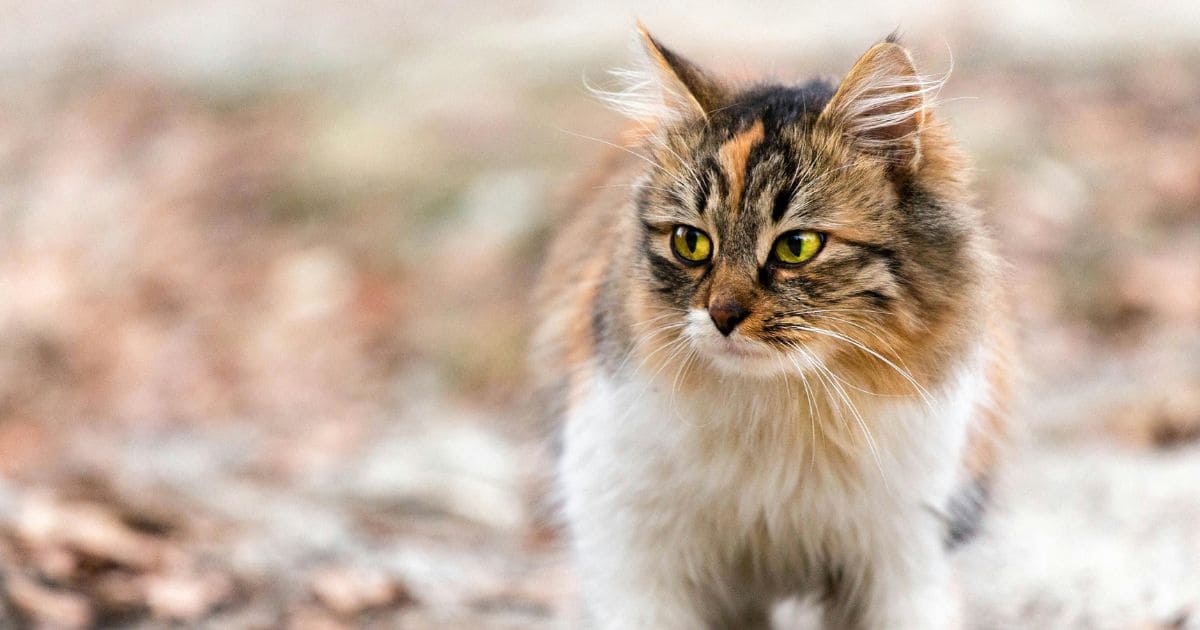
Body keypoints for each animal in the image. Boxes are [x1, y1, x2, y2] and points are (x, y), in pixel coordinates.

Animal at [530, 23, 1008, 628]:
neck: (781, 409)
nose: (722, 315)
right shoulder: (628, 541)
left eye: (796, 246)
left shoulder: (907, 551)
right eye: (691, 242)